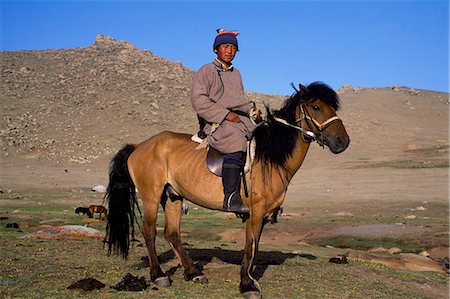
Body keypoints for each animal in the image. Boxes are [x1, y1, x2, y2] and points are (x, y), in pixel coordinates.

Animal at [104, 82, 348, 299]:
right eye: (316, 107)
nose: (342, 142)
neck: (270, 157)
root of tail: (139, 146)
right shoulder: (256, 211)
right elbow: (250, 246)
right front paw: (247, 284)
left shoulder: (261, 214)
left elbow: (254, 246)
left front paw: (247, 279)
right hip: (151, 196)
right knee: (149, 231)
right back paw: (159, 275)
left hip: (173, 196)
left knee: (172, 233)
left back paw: (193, 273)